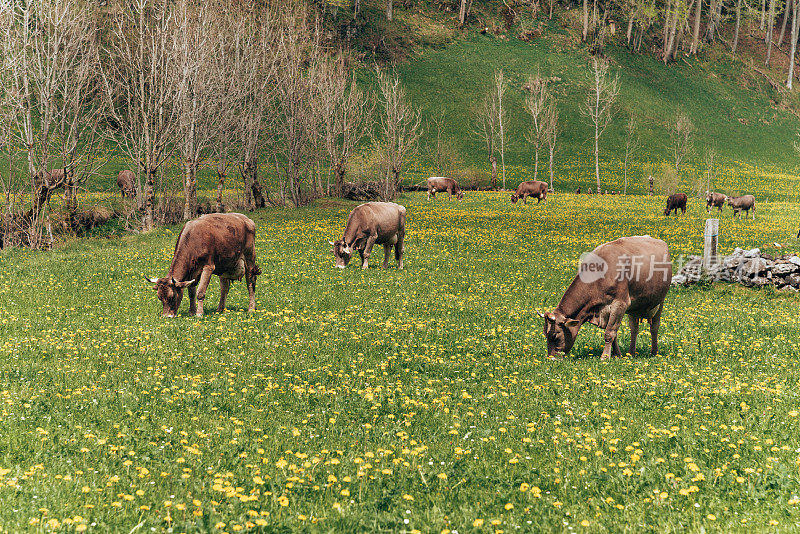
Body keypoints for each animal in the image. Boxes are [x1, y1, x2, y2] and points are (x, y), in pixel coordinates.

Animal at [536, 237, 676, 362]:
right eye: (545, 334)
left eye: (555, 335)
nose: (551, 359)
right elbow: (614, 333)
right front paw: (617, 355)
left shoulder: (620, 304)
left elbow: (610, 332)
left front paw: (605, 357)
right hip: (634, 308)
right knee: (634, 329)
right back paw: (631, 353)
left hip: (660, 302)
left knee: (654, 328)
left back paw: (654, 352)